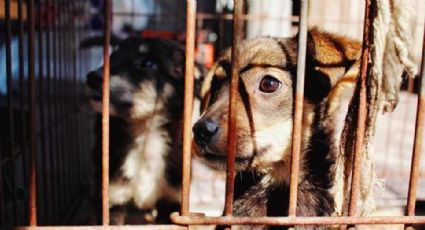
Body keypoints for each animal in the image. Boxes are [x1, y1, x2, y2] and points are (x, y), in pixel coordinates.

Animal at [86, 36, 202, 224]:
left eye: (148, 63)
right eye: (113, 55)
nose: (91, 78)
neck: (146, 134)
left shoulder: (172, 199)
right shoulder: (111, 197)